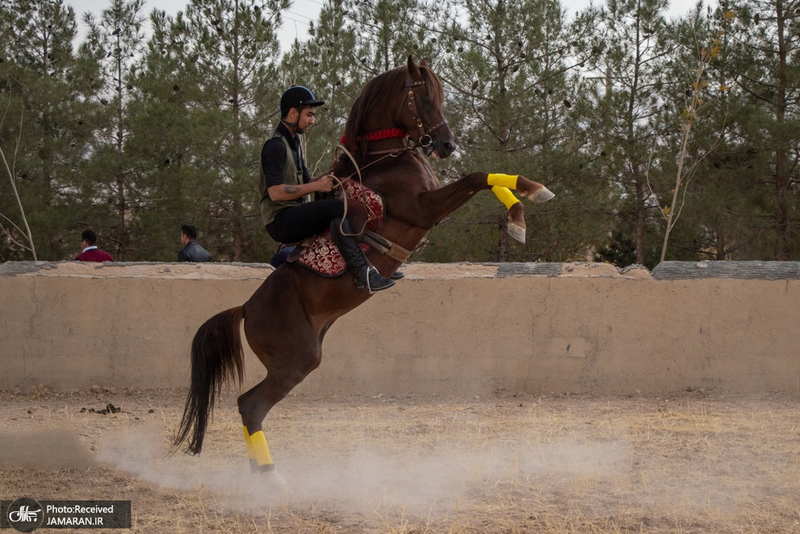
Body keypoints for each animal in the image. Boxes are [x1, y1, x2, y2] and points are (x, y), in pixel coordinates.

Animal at [173, 57, 552, 478]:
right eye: (424, 97)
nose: (446, 145)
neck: (389, 159)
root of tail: (245, 309)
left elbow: (487, 178)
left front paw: (530, 195)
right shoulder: (424, 208)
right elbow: (476, 177)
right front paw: (519, 216)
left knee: (248, 406)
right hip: (296, 361)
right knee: (250, 406)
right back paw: (272, 479)